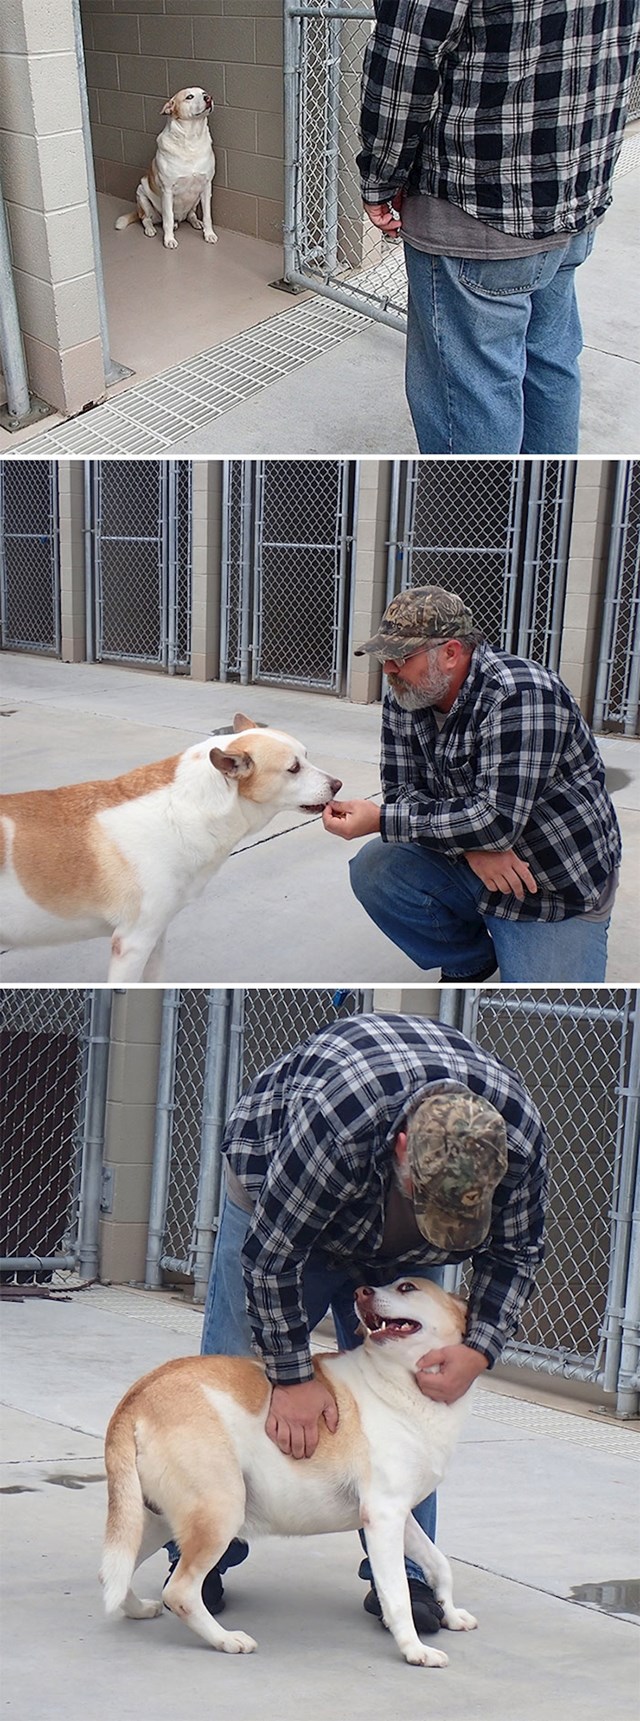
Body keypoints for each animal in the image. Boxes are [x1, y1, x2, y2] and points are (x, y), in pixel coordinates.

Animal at [0, 715, 340, 984]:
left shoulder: (156, 936)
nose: (338, 784)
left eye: (307, 756)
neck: (185, 809)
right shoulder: (132, 942)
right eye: (293, 768)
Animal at [102, 1280, 478, 1665]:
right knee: (179, 1592)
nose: (361, 1291)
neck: (400, 1382)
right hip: (220, 1513)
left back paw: (138, 1609)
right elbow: (398, 1594)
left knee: (116, 1572)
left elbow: (439, 1563)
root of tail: (138, 1396)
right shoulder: (383, 1516)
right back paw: (226, 1639)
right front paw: (415, 1649)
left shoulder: (400, 1516)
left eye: (406, 1286)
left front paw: (450, 1613)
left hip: (154, 1521)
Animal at [117, 86, 220, 251]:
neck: (191, 139)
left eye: (204, 93)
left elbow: (208, 216)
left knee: (191, 215)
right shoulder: (167, 190)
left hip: (196, 199)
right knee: (146, 219)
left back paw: (196, 222)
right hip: (142, 194)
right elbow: (168, 219)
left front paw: (209, 234)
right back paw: (151, 229)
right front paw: (169, 239)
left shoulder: (206, 186)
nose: (208, 98)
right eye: (189, 97)